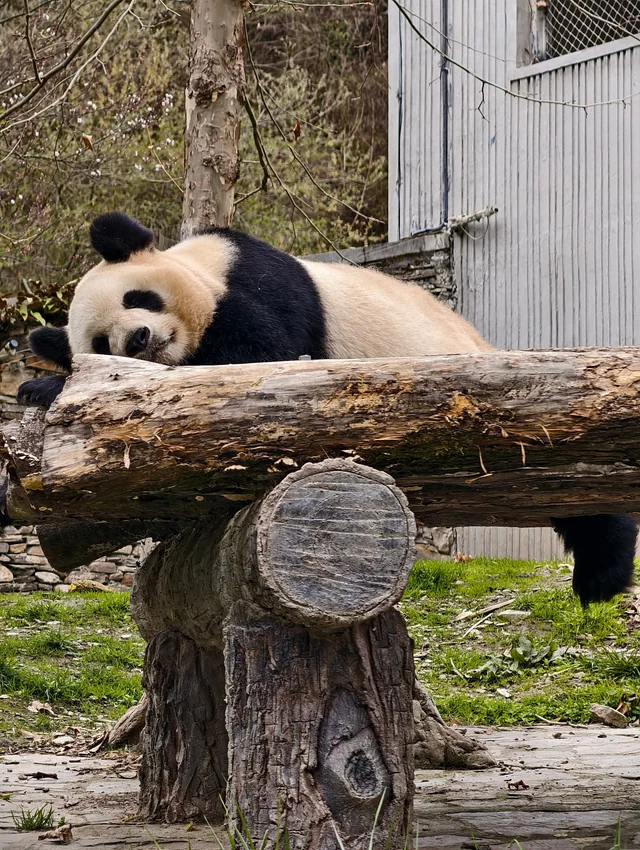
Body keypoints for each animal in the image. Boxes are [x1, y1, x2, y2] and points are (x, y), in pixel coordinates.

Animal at [17, 212, 638, 607]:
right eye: (103, 341)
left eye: (137, 298)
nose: (142, 338)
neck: (204, 268)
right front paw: (44, 384)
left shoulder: (256, 287)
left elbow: (257, 359)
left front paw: (44, 386)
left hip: (513, 404)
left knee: (574, 485)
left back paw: (602, 573)